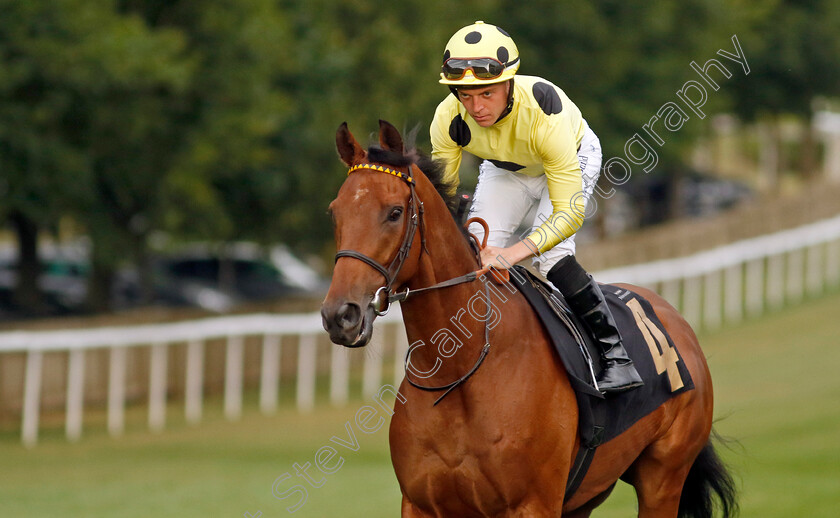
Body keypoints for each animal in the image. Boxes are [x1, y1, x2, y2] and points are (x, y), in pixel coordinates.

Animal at [322, 121, 736, 518]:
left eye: (394, 212)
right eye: (335, 211)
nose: (340, 315)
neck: (461, 373)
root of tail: (673, 319)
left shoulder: (533, 504)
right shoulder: (420, 505)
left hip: (663, 479)